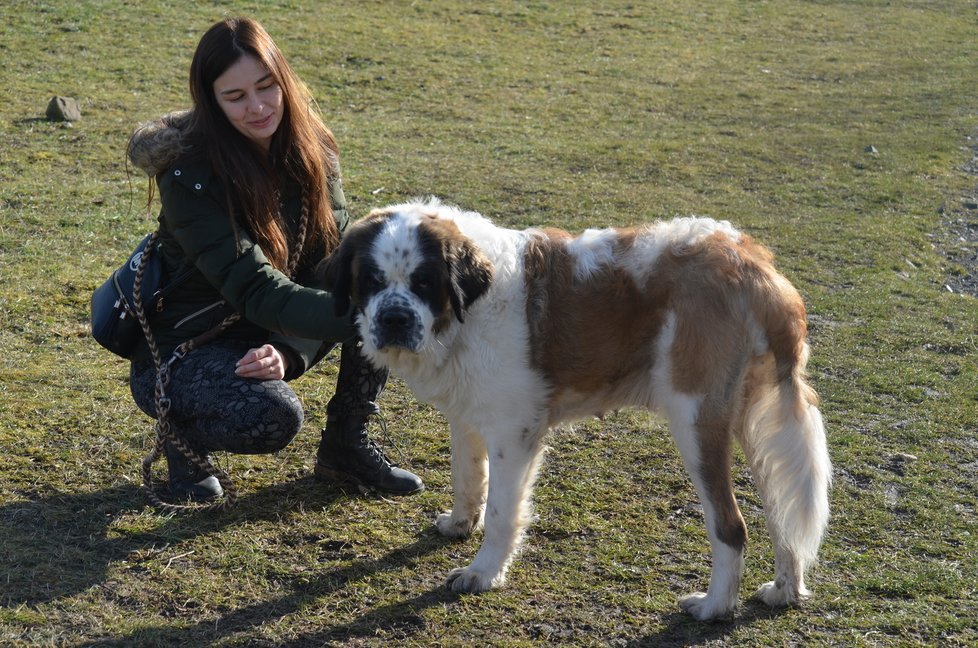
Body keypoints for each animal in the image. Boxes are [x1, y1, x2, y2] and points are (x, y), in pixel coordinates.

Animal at [320, 199, 832, 624]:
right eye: (371, 281)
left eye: (424, 282)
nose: (395, 318)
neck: (467, 311)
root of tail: (753, 264)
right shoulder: (467, 416)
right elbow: (467, 478)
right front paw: (459, 525)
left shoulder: (513, 433)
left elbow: (503, 510)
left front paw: (483, 573)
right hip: (756, 419)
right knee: (783, 510)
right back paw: (784, 589)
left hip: (695, 419)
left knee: (731, 525)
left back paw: (714, 606)